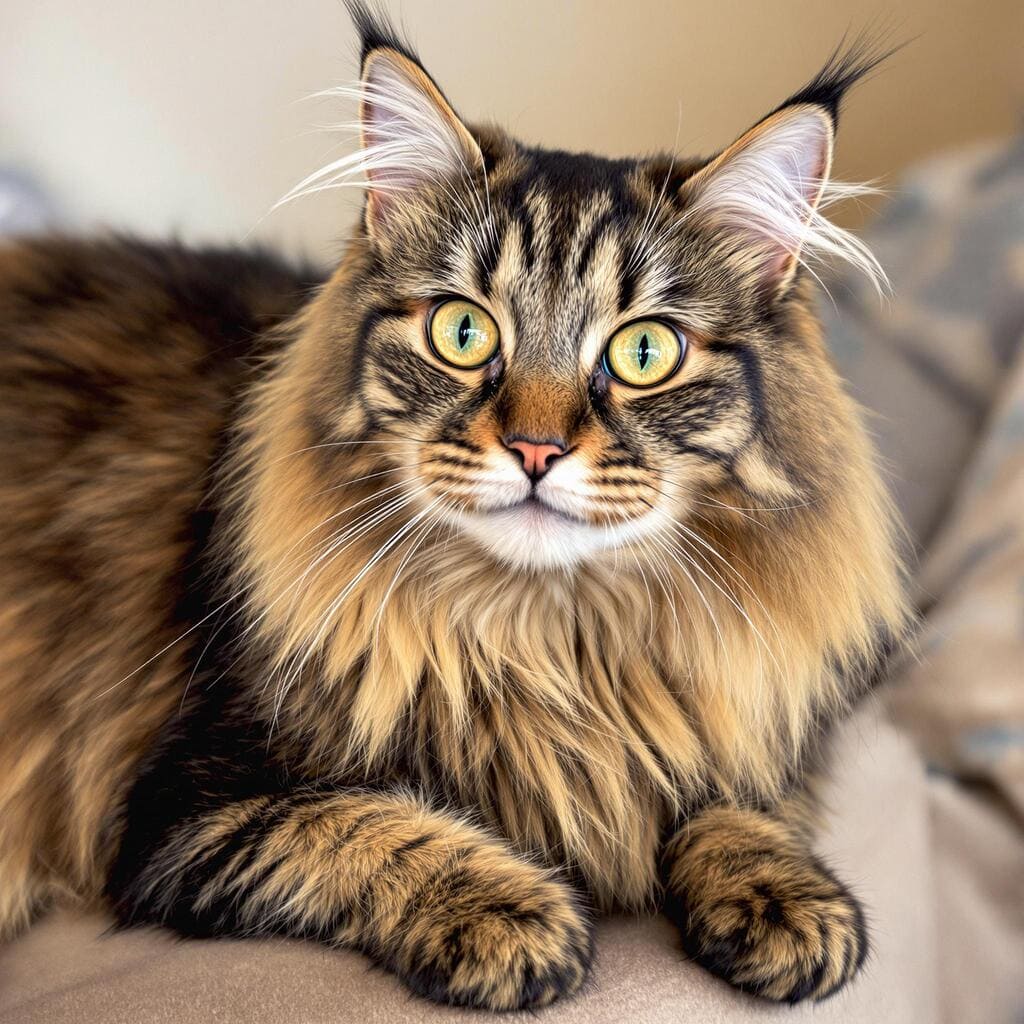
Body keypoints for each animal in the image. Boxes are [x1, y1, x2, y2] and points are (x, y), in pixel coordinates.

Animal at [0, 0, 909, 1007]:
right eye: (463, 332)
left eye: (644, 353)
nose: (537, 449)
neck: (552, 648)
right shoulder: (191, 809)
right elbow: (371, 826)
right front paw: (515, 917)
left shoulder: (743, 732)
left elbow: (738, 807)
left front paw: (788, 902)